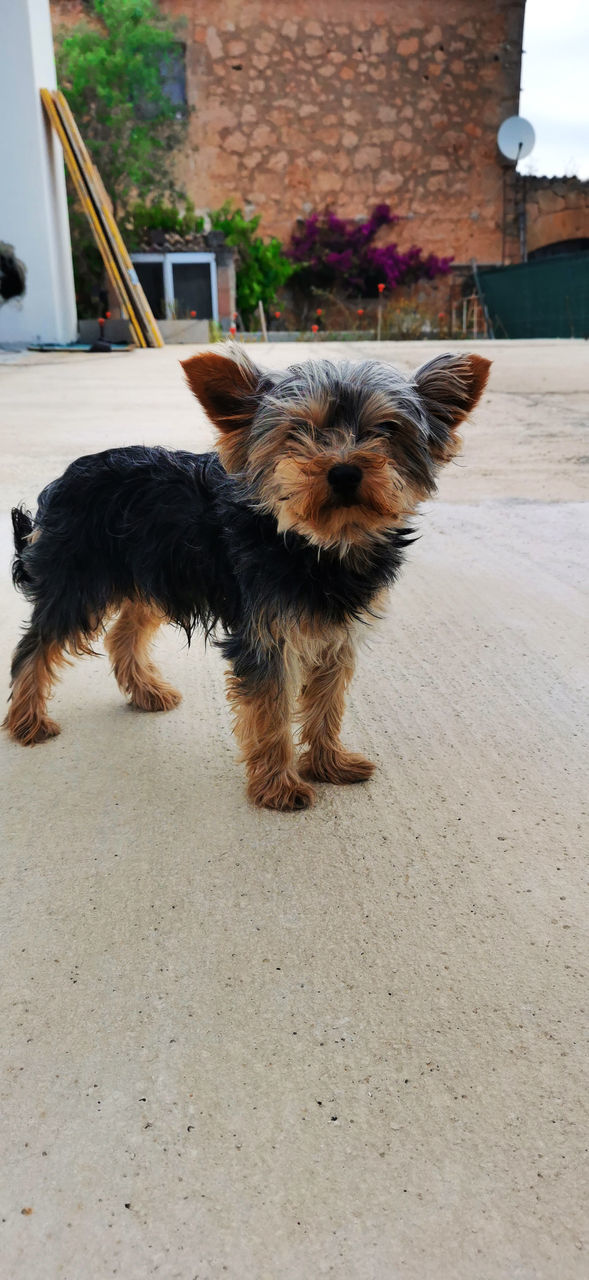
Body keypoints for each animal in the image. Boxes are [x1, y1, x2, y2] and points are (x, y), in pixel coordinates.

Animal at [4, 348, 489, 808]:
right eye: (297, 430)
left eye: (386, 429)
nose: (345, 470)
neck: (316, 546)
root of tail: (62, 480)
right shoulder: (266, 636)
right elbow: (271, 712)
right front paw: (277, 787)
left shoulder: (336, 635)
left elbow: (327, 703)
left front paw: (329, 763)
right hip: (76, 582)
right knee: (34, 647)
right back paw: (27, 722)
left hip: (155, 577)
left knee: (122, 633)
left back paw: (146, 692)